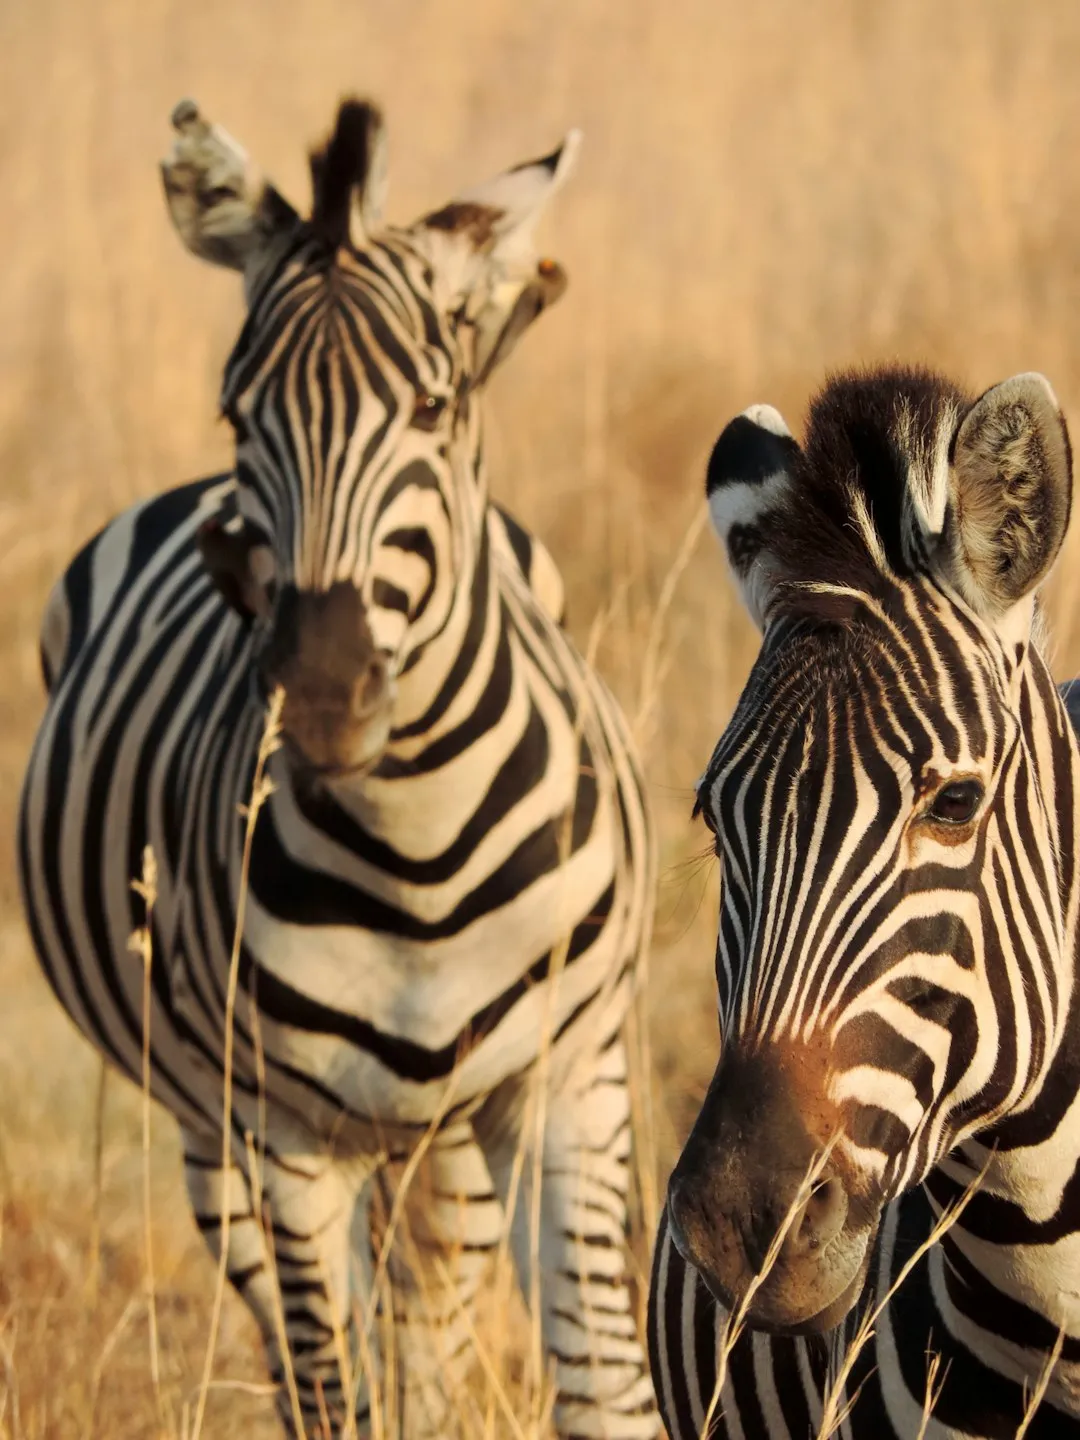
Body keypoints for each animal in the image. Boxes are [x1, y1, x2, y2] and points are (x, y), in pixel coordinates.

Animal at [18, 98, 659, 1439]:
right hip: (214, 1133)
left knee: (431, 1323)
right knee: (316, 1346)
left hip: (452, 1144)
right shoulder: (288, 1134)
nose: (319, 691)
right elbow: (333, 1386)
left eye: (429, 407)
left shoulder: (574, 1087)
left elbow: (603, 1392)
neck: (420, 849)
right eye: (235, 414)